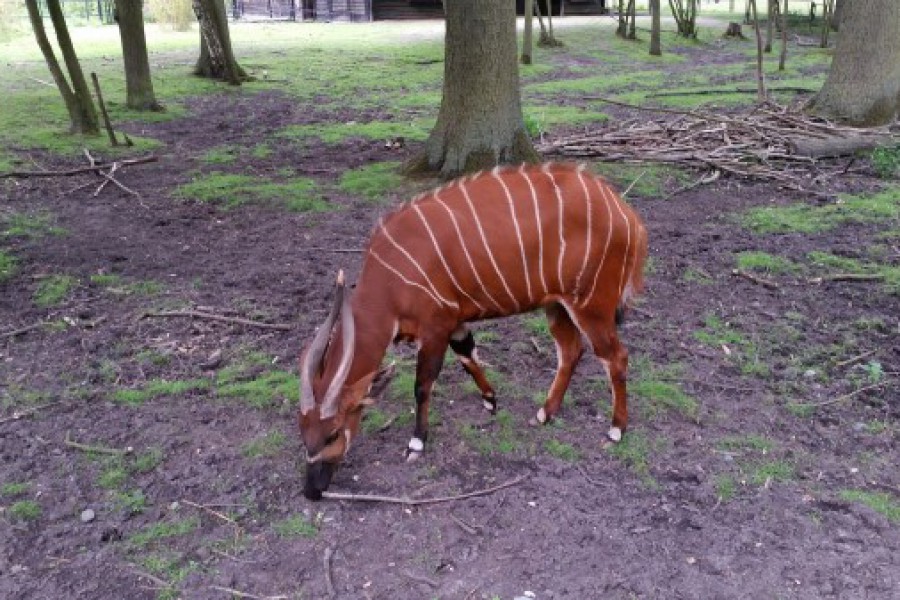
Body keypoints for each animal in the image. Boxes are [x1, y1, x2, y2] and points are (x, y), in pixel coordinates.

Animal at [300, 161, 648, 496]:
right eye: (303, 432)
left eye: (332, 433)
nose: (311, 490)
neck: (388, 282)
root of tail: (628, 215)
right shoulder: (455, 322)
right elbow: (467, 356)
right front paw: (491, 400)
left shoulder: (435, 326)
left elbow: (423, 384)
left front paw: (416, 443)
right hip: (557, 306)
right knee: (571, 351)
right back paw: (545, 413)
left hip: (592, 306)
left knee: (615, 356)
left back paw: (616, 429)